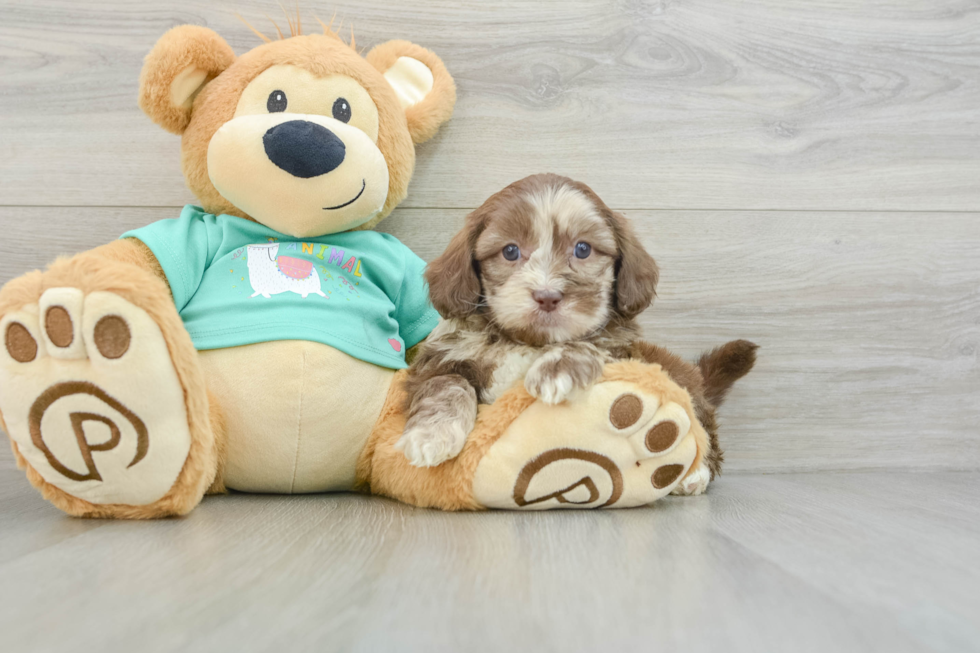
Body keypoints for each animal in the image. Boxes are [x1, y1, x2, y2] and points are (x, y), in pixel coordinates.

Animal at [394, 173, 756, 494]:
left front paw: (557, 370)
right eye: (510, 251)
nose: (547, 296)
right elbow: (447, 383)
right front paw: (432, 435)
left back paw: (694, 475)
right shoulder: (441, 358)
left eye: (583, 249)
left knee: (704, 432)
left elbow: (589, 343)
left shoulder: (621, 351)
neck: (527, 341)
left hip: (680, 384)